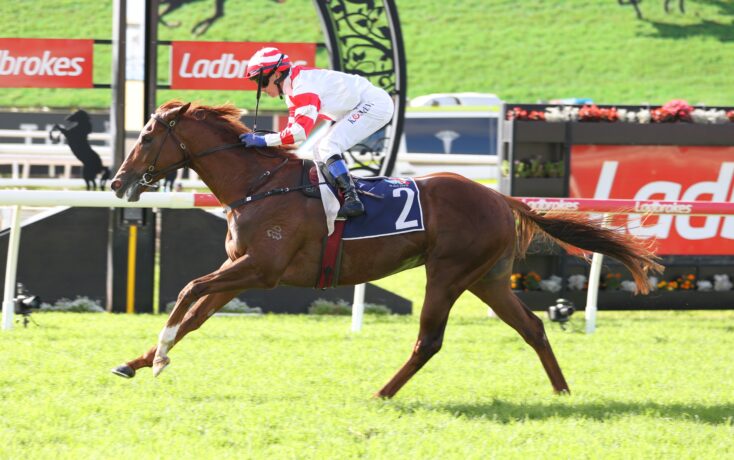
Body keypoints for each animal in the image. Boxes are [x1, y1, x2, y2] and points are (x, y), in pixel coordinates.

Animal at [109, 100, 663, 398]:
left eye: (146, 136)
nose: (117, 181)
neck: (259, 183)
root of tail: (501, 196)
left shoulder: (260, 268)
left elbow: (187, 291)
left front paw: (158, 356)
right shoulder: (239, 266)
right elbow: (196, 314)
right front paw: (136, 362)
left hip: (448, 275)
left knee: (429, 341)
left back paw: (382, 392)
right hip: (488, 279)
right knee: (532, 327)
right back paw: (562, 390)